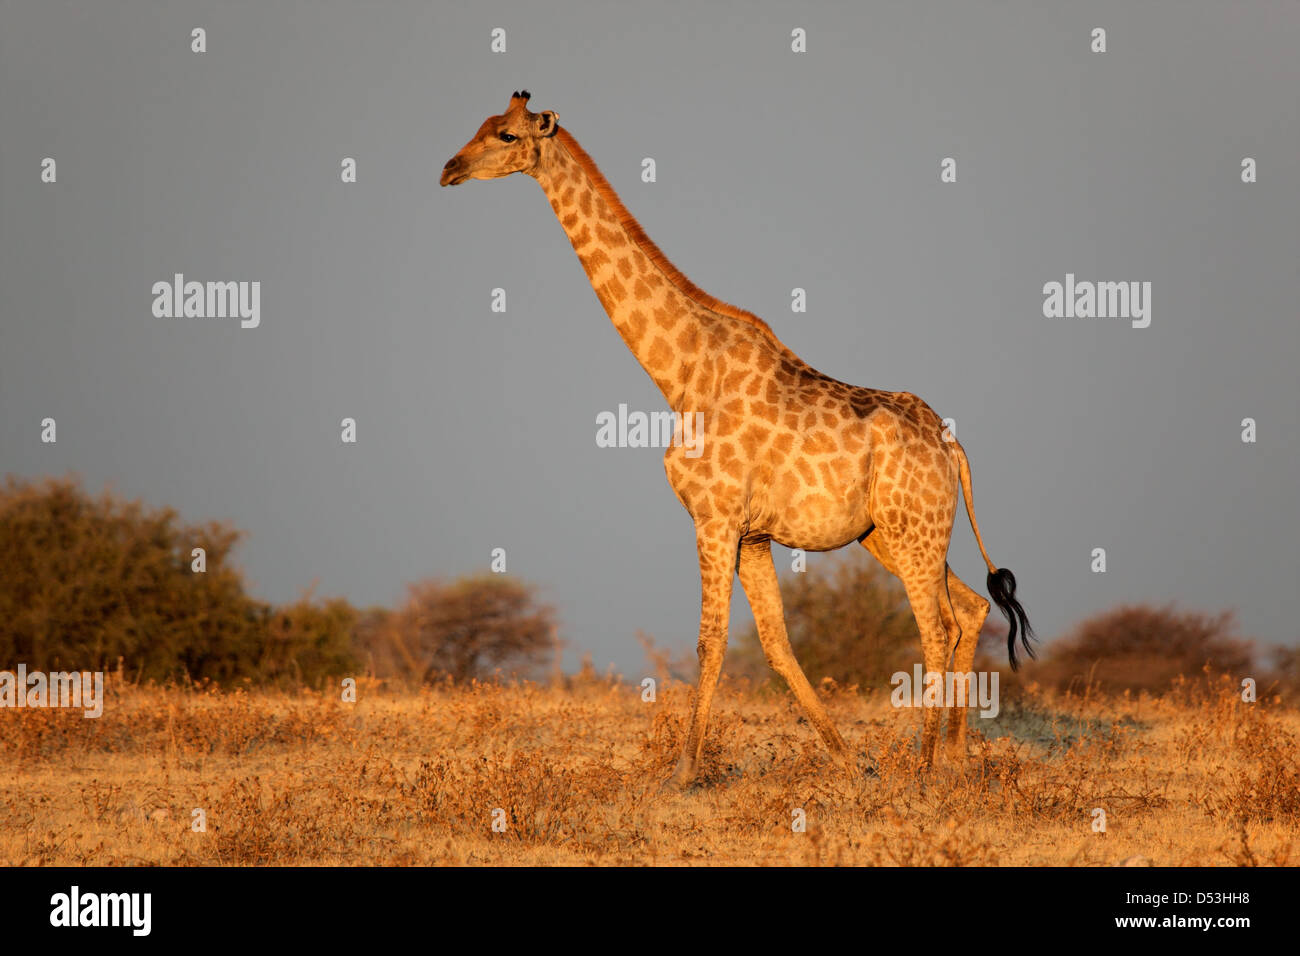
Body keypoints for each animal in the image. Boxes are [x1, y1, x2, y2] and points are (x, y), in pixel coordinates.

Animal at [441, 93, 1029, 785]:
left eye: (505, 136)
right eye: (479, 128)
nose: (449, 169)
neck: (680, 372)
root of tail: (950, 446)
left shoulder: (714, 516)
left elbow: (711, 638)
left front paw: (684, 772)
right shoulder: (752, 533)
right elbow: (775, 642)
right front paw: (847, 762)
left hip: (913, 530)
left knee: (936, 625)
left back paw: (925, 762)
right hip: (893, 532)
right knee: (969, 609)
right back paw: (955, 762)